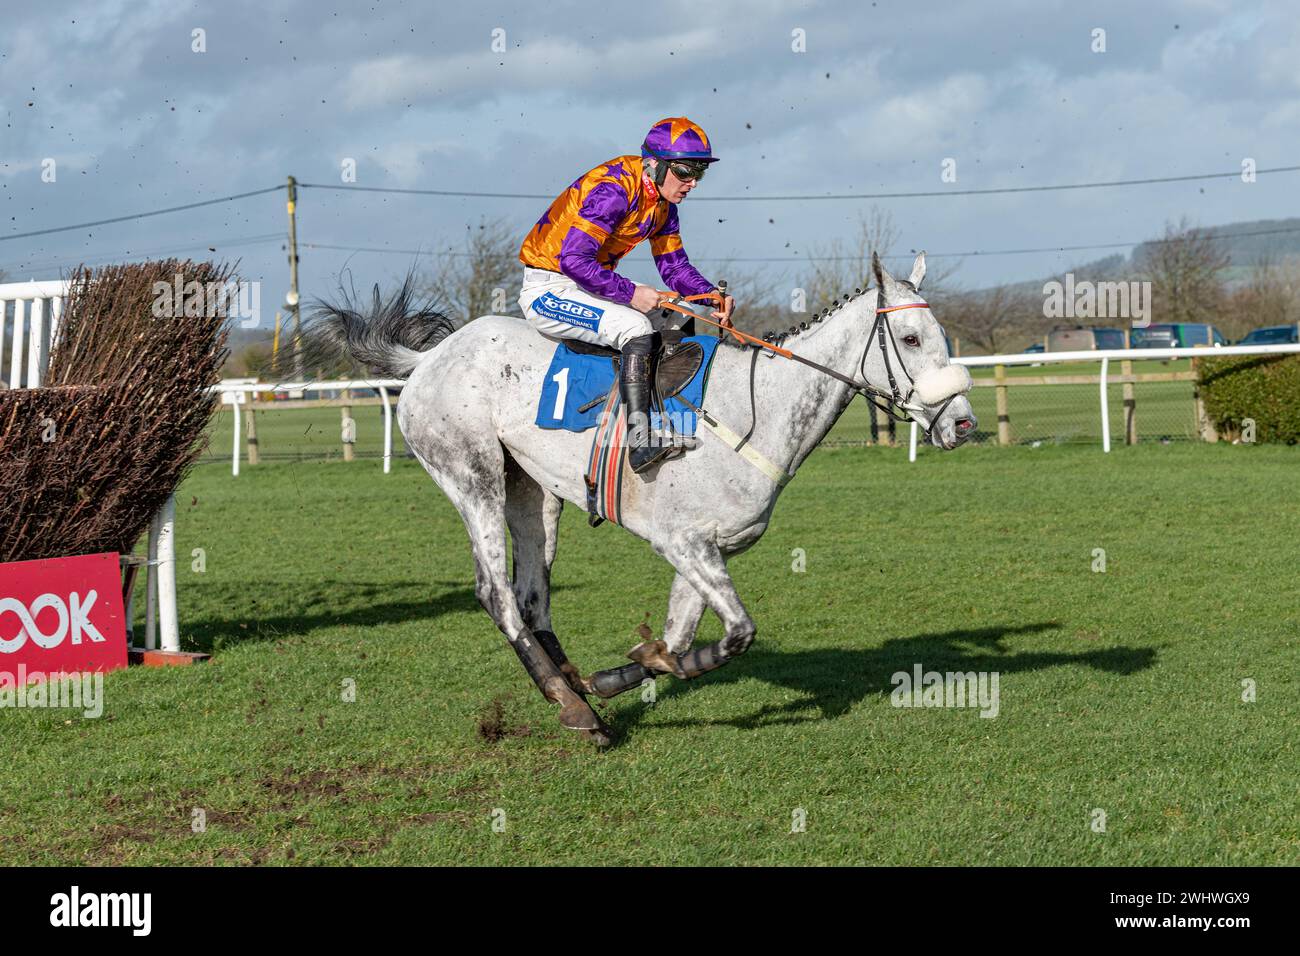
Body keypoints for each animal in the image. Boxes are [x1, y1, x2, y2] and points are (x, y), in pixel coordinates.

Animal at [314, 251, 977, 743]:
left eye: (942, 335)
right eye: (910, 338)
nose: (964, 423)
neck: (751, 415)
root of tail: (430, 358)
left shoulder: (708, 550)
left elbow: (684, 636)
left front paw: (619, 674)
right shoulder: (682, 542)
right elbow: (736, 633)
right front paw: (637, 670)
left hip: (532, 492)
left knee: (532, 595)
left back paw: (572, 686)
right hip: (471, 476)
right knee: (496, 593)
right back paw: (574, 709)